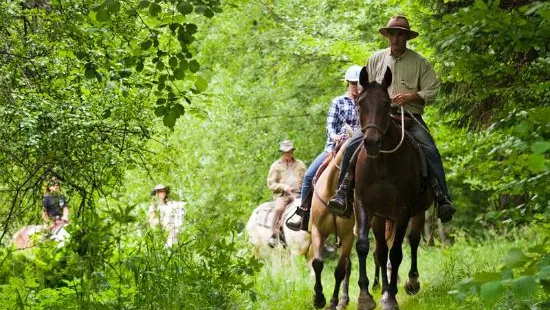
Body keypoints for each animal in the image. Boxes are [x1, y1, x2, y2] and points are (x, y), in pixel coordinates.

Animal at [308, 130, 356, 308]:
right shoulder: (317, 230)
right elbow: (317, 263)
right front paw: (318, 298)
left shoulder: (348, 236)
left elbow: (340, 271)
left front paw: (333, 302)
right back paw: (344, 300)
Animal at [354, 68, 436, 310]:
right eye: (360, 103)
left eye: (386, 104)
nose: (371, 142)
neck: (381, 163)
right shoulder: (365, 207)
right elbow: (365, 247)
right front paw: (366, 297)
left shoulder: (403, 211)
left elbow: (397, 252)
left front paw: (391, 297)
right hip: (381, 217)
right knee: (381, 251)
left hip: (418, 212)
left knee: (414, 241)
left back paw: (412, 282)